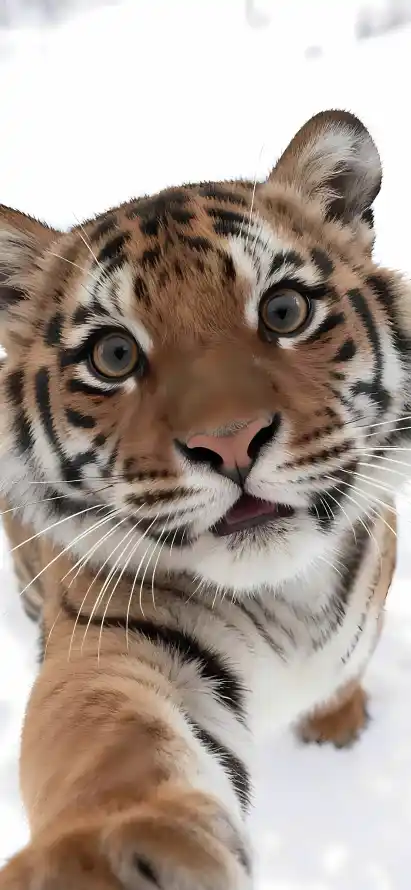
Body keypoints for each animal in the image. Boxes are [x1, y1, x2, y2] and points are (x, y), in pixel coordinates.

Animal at [0, 109, 408, 890]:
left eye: (284, 310)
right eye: (114, 356)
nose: (231, 441)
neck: (288, 596)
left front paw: (335, 729)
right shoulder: (115, 640)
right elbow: (111, 744)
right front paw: (103, 853)